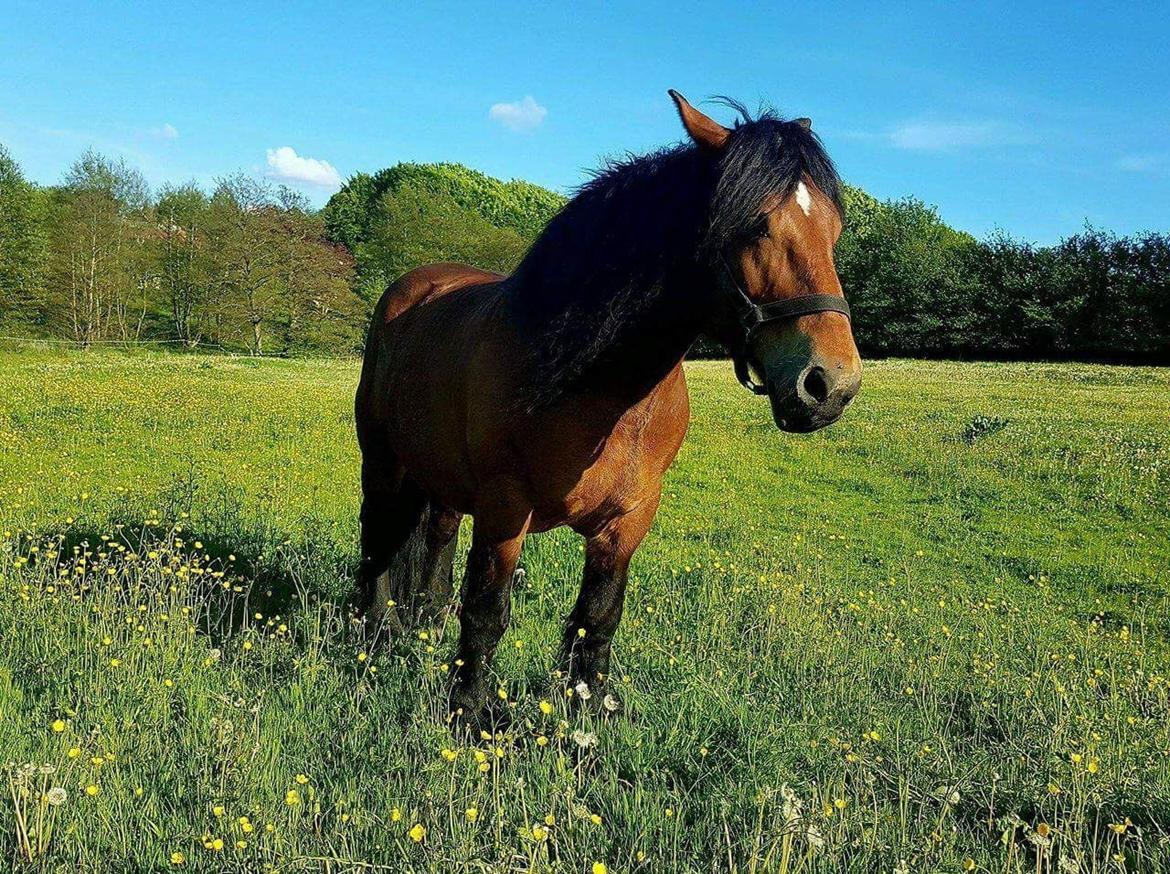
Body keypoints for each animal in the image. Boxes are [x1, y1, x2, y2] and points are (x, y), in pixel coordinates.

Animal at [353, 90, 861, 716]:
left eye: (834, 230)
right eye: (754, 225)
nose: (830, 386)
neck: (595, 385)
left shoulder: (629, 518)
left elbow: (597, 617)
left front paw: (586, 714)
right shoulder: (503, 508)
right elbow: (487, 610)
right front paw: (470, 712)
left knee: (437, 538)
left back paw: (424, 621)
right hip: (383, 463)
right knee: (378, 541)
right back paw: (374, 634)